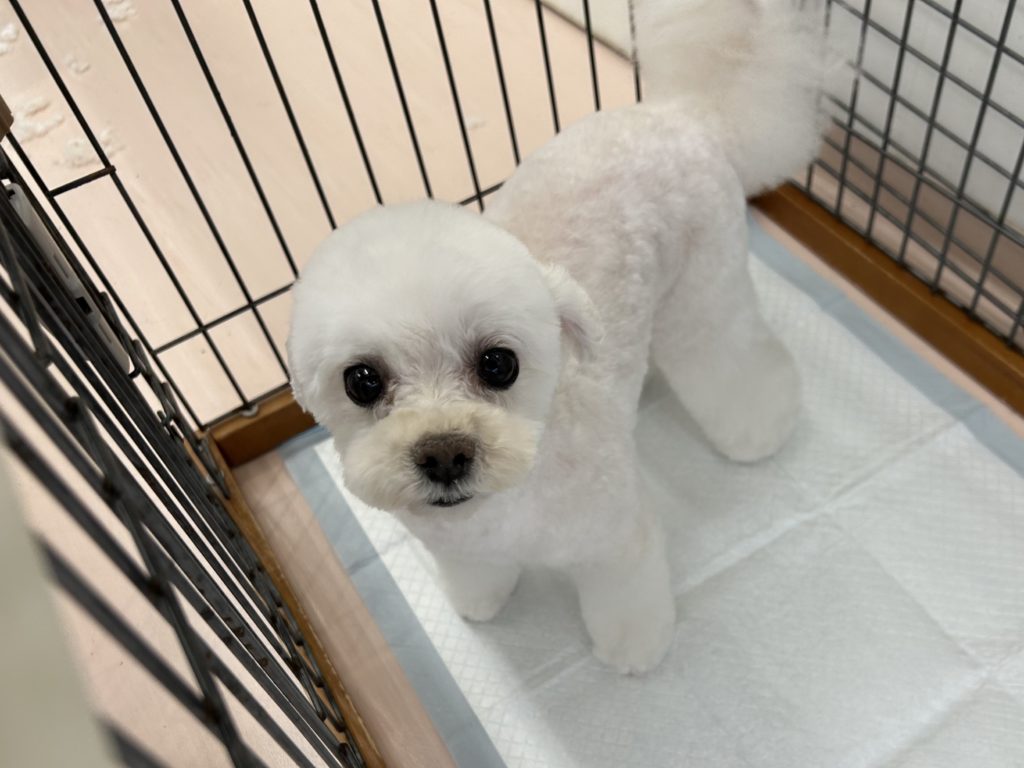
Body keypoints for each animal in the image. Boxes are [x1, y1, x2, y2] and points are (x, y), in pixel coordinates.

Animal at [288, 0, 824, 674]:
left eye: (499, 364)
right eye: (361, 381)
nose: (444, 453)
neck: (511, 497)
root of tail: (682, 111)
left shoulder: (614, 535)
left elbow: (625, 590)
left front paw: (634, 647)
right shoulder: (455, 542)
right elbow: (476, 571)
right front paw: (482, 600)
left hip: (705, 287)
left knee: (728, 354)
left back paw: (759, 429)